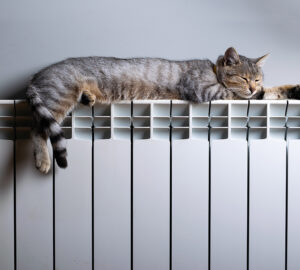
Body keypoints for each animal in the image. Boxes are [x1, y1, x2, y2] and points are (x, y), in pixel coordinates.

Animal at [25, 46, 300, 174]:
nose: (253, 87)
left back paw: (89, 96)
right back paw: (43, 161)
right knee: (36, 130)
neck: (213, 71)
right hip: (59, 97)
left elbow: (272, 91)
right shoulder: (208, 91)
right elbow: (251, 95)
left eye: (257, 78)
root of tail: (35, 77)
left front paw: (291, 89)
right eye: (244, 78)